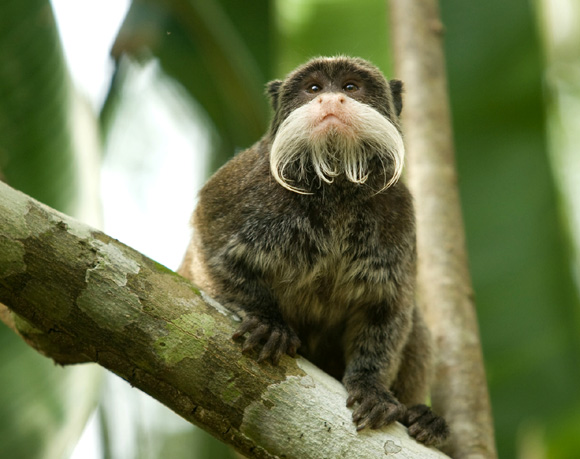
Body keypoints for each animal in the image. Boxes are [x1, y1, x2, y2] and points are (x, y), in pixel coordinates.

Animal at [179, 55, 450, 448]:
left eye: (350, 87)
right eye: (313, 88)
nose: (331, 99)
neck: (335, 187)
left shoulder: (399, 213)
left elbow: (389, 309)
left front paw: (370, 385)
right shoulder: (243, 188)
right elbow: (211, 255)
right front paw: (268, 321)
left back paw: (423, 419)